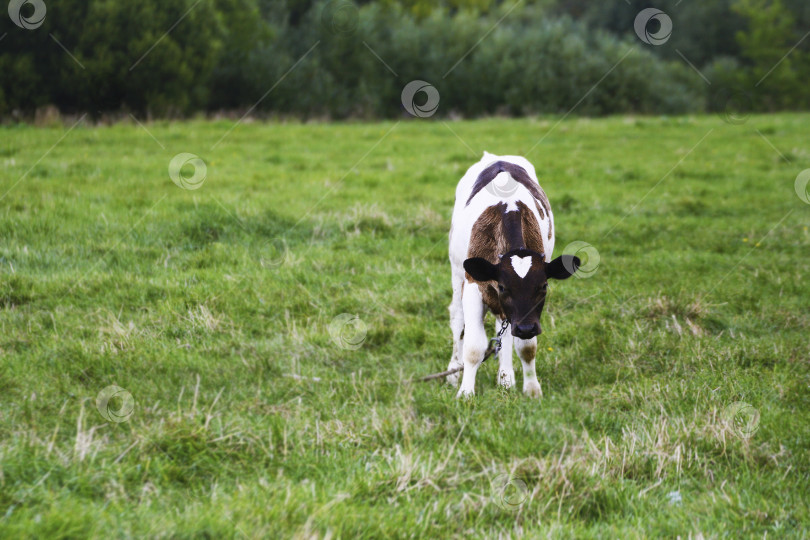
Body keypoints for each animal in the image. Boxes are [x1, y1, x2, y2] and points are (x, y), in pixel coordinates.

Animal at [448, 152, 576, 396]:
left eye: (543, 286)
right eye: (503, 287)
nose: (525, 328)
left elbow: (527, 347)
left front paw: (532, 390)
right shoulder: (473, 285)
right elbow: (473, 346)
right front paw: (465, 393)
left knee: (503, 328)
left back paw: (506, 378)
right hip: (457, 273)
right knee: (458, 322)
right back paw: (453, 374)